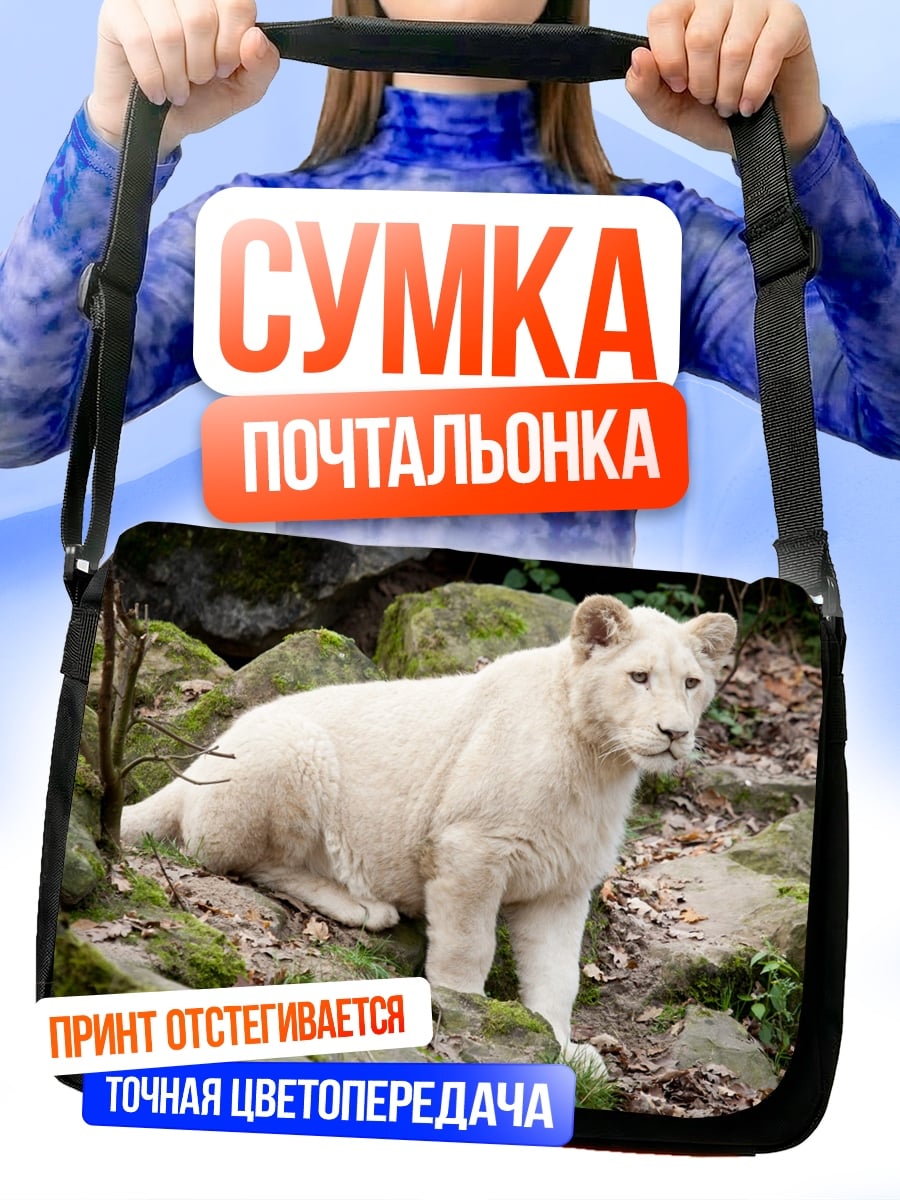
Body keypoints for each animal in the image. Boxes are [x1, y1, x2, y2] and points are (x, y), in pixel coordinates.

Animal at [120, 594, 736, 1054]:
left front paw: (564, 1049)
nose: (675, 733)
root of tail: (195, 762)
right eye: (639, 677)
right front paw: (469, 1013)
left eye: (691, 683)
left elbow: (559, 974)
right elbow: (468, 945)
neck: (599, 763)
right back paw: (362, 904)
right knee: (236, 859)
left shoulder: (562, 882)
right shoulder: (470, 846)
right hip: (292, 749)